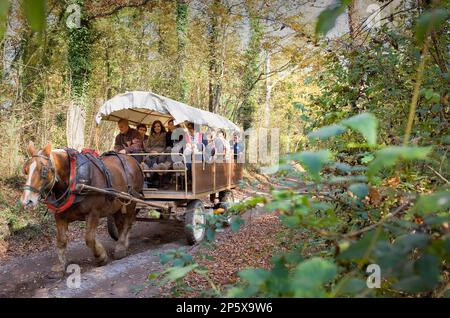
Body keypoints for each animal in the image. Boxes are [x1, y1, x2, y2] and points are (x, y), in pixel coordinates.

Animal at [20, 142, 143, 276]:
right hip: (117, 206)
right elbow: (61, 240)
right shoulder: (60, 216)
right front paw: (61, 266)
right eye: (26, 170)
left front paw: (101, 257)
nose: (27, 200)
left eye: (43, 170)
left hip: (131, 201)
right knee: (120, 224)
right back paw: (123, 244)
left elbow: (89, 238)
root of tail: (134, 160)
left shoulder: (93, 213)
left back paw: (121, 248)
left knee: (128, 223)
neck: (74, 180)